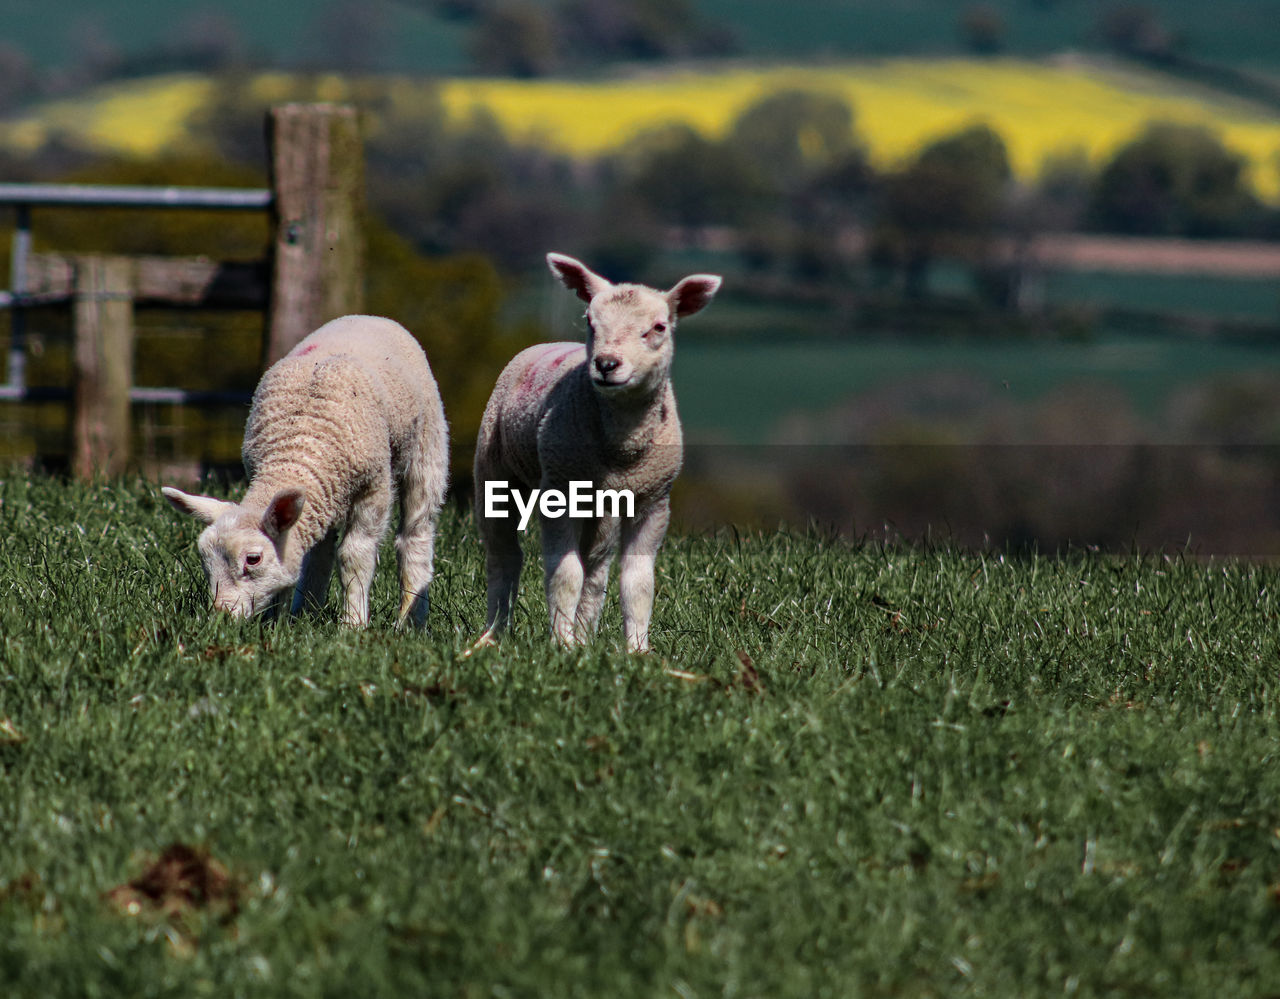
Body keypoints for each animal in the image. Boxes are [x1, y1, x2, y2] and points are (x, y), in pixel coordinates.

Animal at [163, 312, 450, 627]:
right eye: (204, 560)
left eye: (253, 559)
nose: (222, 617)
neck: (298, 450)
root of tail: (369, 317)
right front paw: (283, 621)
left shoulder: (373, 488)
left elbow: (354, 555)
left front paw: (353, 624)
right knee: (321, 551)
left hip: (427, 446)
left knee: (416, 533)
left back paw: (412, 621)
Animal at [476, 253, 721, 650]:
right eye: (590, 322)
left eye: (658, 327)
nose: (606, 364)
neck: (622, 447)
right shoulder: (558, 491)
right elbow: (565, 574)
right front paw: (561, 645)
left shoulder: (653, 501)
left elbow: (637, 583)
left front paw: (637, 650)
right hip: (495, 469)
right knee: (504, 556)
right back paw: (493, 634)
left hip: (601, 507)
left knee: (596, 569)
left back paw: (584, 639)